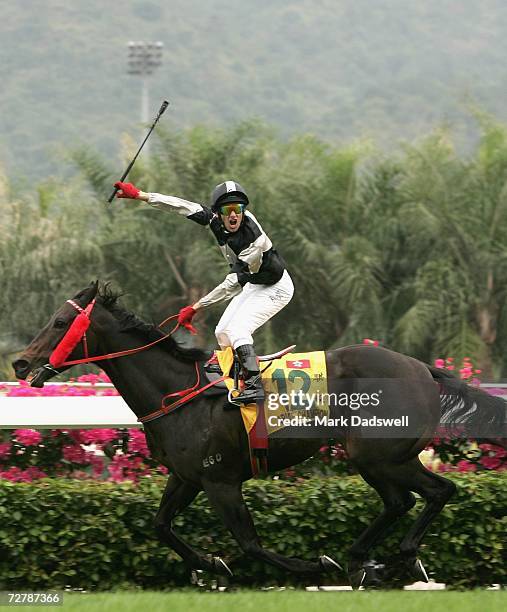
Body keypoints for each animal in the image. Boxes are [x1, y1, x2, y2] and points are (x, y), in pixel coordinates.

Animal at [11, 282, 507, 588]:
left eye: (60, 323)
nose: (19, 363)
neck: (178, 391)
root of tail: (421, 368)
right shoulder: (187, 477)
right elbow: (161, 526)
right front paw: (209, 563)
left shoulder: (220, 481)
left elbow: (250, 543)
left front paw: (315, 563)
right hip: (382, 457)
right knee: (409, 499)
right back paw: (371, 560)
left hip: (378, 454)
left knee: (428, 493)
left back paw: (384, 557)